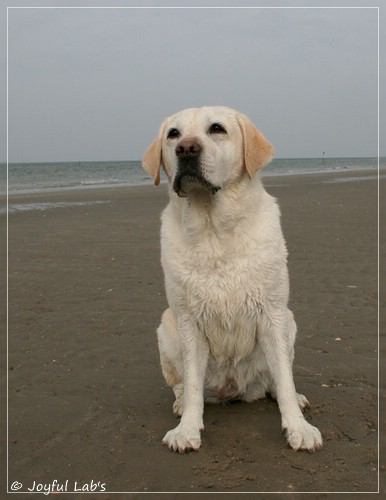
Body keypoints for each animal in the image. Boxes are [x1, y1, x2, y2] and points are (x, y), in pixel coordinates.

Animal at [142, 105, 322, 454]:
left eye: (217, 129)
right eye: (173, 134)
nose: (186, 148)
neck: (214, 229)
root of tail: (234, 388)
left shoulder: (273, 313)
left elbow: (284, 376)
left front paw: (299, 428)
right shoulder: (188, 320)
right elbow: (193, 385)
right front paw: (187, 430)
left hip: (289, 321)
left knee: (276, 380)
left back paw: (293, 397)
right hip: (165, 328)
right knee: (182, 385)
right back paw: (180, 404)